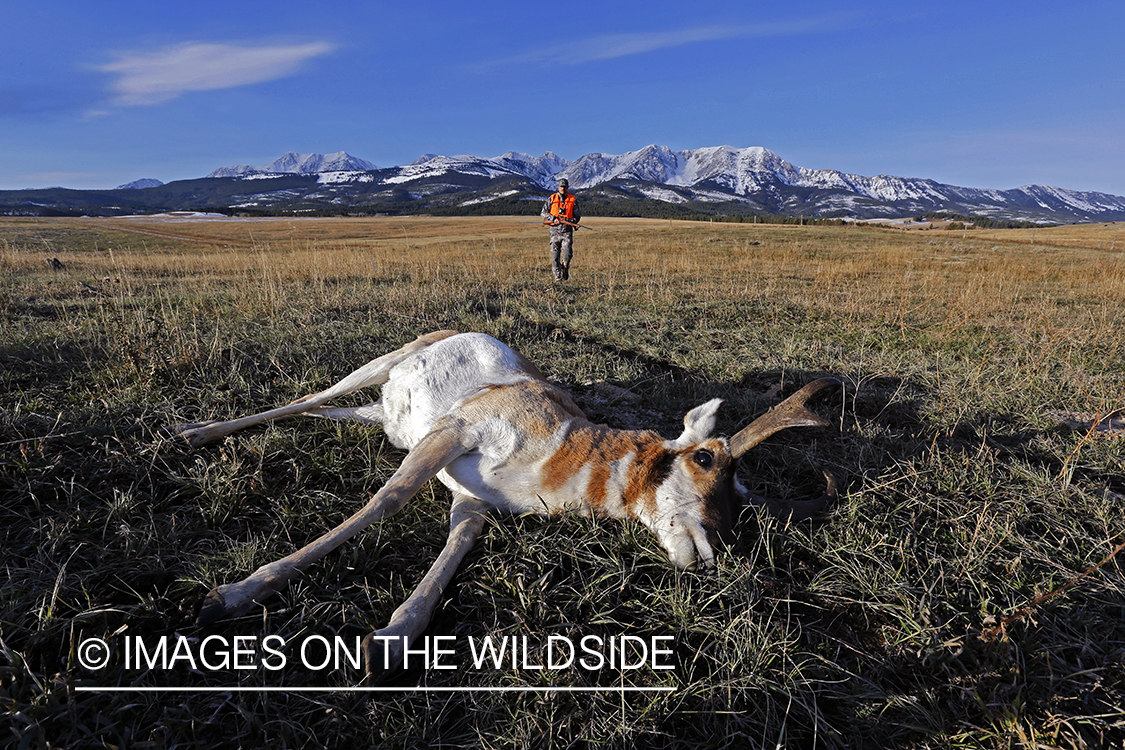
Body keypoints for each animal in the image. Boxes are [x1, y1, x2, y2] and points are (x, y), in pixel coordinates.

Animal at [175, 330, 838, 673]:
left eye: (744, 499)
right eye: (707, 461)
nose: (718, 547)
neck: (566, 448)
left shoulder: (472, 502)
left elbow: (452, 552)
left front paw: (392, 638)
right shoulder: (454, 433)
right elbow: (389, 499)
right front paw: (234, 594)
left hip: (385, 420)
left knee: (325, 412)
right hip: (379, 372)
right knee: (307, 398)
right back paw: (194, 432)